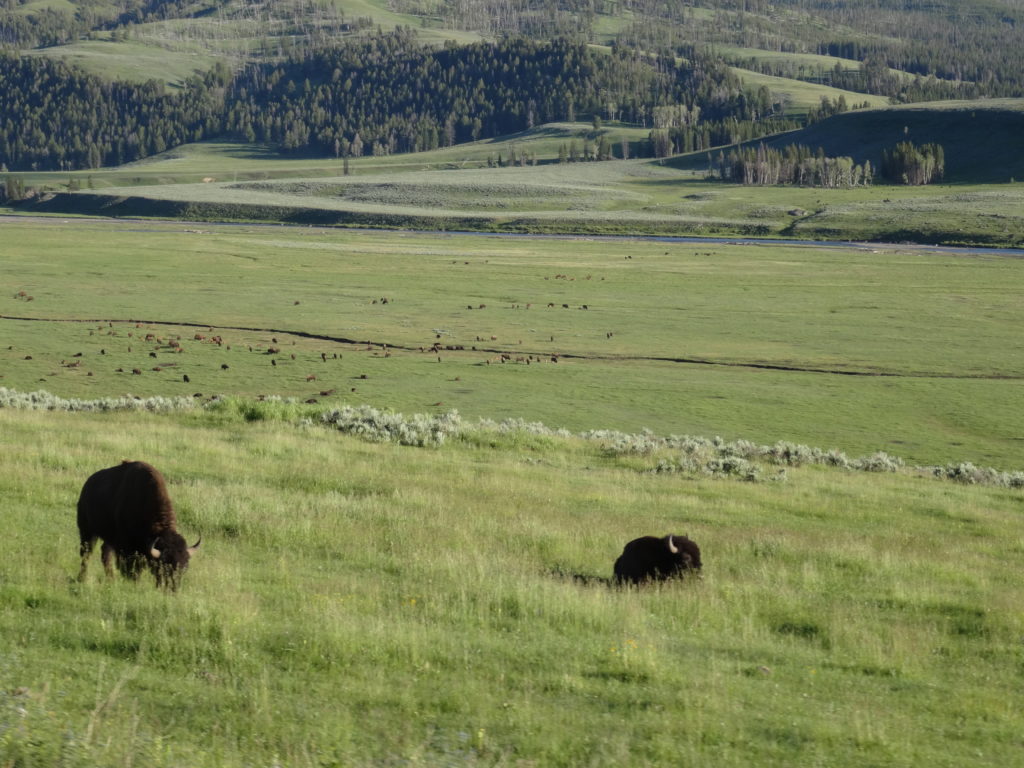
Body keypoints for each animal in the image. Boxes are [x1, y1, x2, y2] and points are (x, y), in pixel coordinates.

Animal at [76, 460, 198, 593]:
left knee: (105, 554)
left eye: (185, 567)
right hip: (87, 531)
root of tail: (87, 485)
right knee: (86, 554)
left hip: (108, 538)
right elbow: (131, 569)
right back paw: (82, 578)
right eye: (164, 565)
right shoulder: (126, 548)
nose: (173, 589)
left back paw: (110, 580)